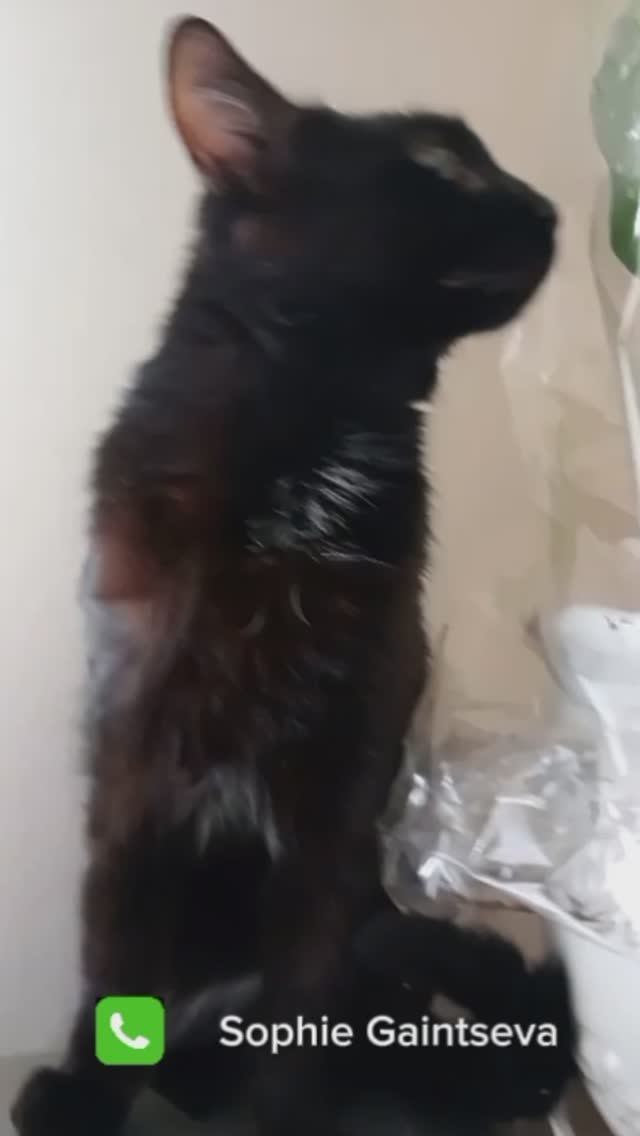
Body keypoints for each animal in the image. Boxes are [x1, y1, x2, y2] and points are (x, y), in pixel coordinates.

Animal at [12, 16, 557, 1136]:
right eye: (441, 161)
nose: (548, 206)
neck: (317, 441)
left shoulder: (342, 778)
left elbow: (302, 1000)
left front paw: (283, 1111)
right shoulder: (136, 754)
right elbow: (115, 954)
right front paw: (83, 1092)